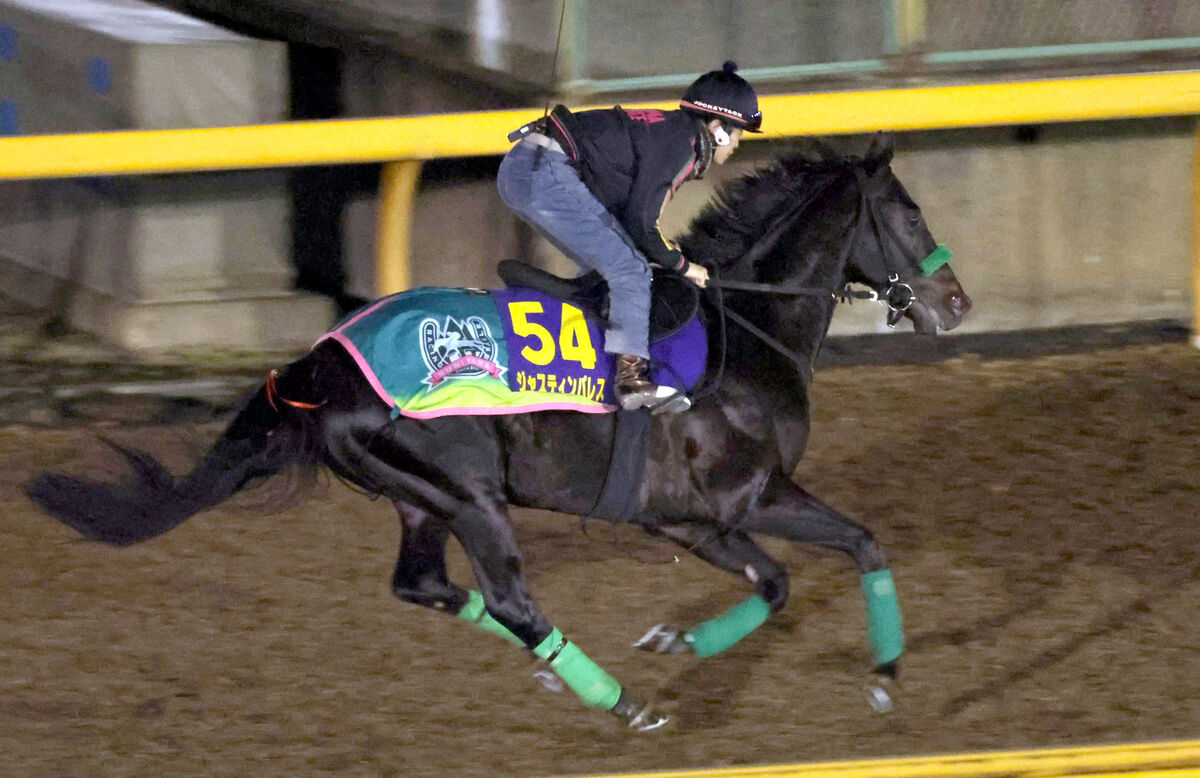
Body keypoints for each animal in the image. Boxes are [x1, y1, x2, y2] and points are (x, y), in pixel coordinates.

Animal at [25, 132, 964, 729]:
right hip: (471, 494)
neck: (743, 325)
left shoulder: (685, 519)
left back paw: (561, 671)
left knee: (425, 587)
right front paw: (884, 676)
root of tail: (320, 364)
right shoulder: (747, 496)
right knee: (510, 598)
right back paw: (620, 702)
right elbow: (847, 549)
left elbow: (780, 579)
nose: (956, 302)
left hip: (420, 497)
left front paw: (686, 638)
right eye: (911, 214)